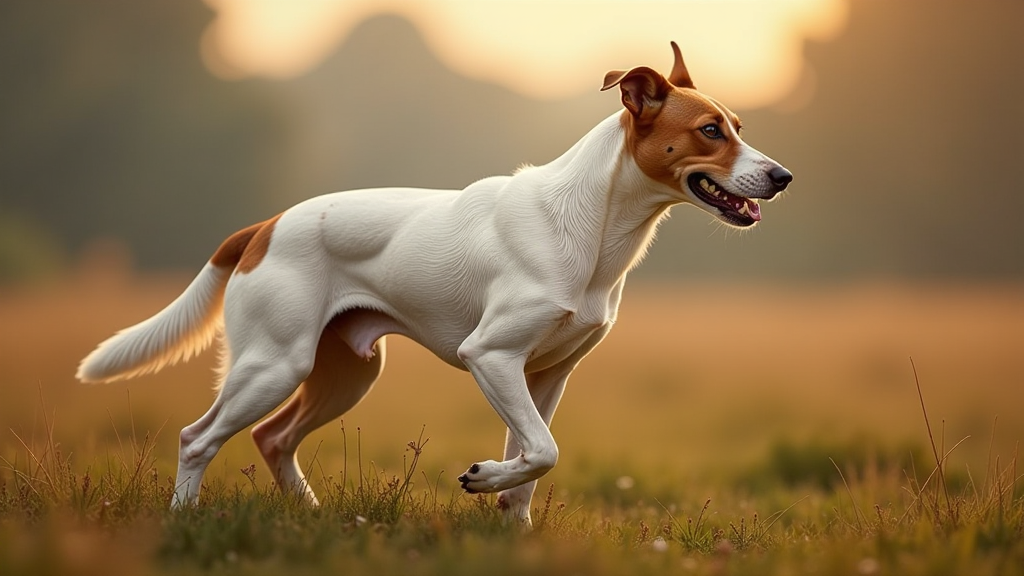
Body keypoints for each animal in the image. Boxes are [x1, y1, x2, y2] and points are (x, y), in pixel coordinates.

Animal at [77, 42, 790, 522]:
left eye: (739, 128)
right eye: (708, 131)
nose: (782, 177)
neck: (588, 225)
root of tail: (264, 226)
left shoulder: (546, 377)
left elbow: (531, 467)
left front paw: (506, 510)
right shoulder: (492, 357)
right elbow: (544, 452)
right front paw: (482, 477)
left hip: (346, 373)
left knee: (272, 438)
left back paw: (310, 517)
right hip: (273, 364)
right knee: (198, 438)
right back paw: (184, 519)